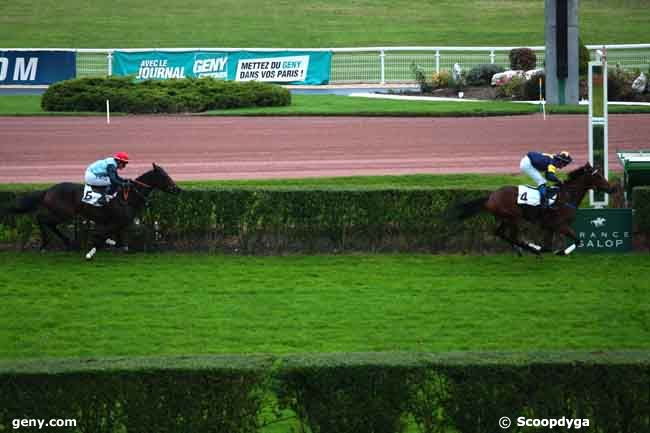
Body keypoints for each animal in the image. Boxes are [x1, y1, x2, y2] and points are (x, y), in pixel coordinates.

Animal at [5, 161, 180, 256]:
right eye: (164, 176)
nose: (177, 189)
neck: (128, 196)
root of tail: (48, 190)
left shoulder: (121, 224)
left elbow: (119, 241)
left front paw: (113, 244)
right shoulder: (114, 222)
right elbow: (100, 236)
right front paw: (91, 252)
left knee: (48, 222)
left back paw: (67, 243)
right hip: (63, 213)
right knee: (43, 219)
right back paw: (48, 244)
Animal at [448, 164, 616, 255]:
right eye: (598, 176)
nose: (612, 188)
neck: (567, 196)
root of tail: (491, 196)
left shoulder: (550, 226)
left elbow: (548, 247)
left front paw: (546, 249)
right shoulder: (560, 225)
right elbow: (578, 240)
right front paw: (561, 251)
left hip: (505, 218)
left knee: (500, 233)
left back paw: (525, 249)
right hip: (514, 217)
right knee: (512, 235)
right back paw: (530, 248)